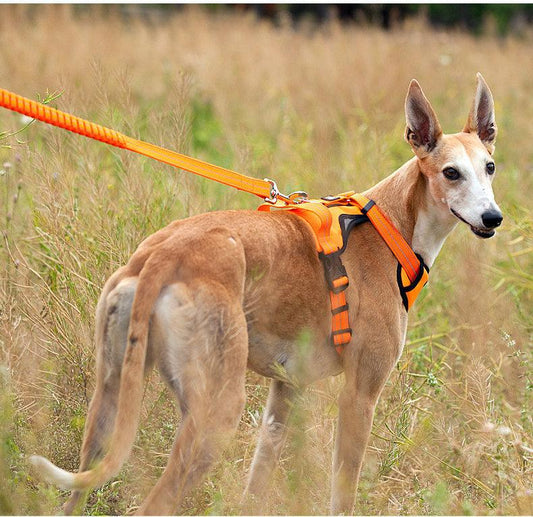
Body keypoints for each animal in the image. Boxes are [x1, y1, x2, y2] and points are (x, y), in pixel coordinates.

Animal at [31, 74, 500, 512]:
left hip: (107, 403)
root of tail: (164, 254)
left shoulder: (285, 393)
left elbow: (256, 485)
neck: (391, 226)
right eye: (451, 172)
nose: (492, 218)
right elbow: (342, 496)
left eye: (490, 167)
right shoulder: (360, 396)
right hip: (216, 413)